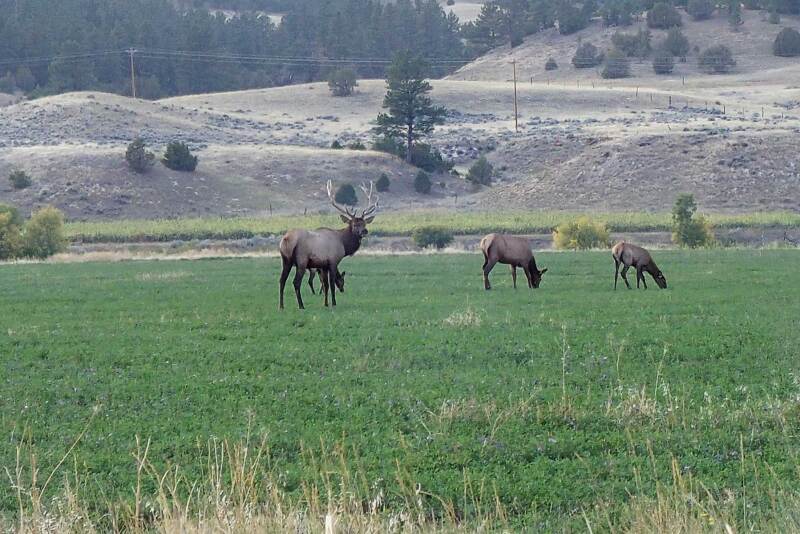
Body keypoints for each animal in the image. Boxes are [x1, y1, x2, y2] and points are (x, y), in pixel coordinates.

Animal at [279, 180, 377, 309]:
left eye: (364, 223)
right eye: (354, 224)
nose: (364, 231)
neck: (343, 244)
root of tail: (286, 239)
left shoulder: (323, 265)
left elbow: (325, 284)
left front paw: (325, 304)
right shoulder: (333, 261)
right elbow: (331, 284)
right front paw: (334, 303)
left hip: (286, 260)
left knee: (282, 280)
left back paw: (281, 306)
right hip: (301, 260)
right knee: (296, 282)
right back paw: (301, 305)